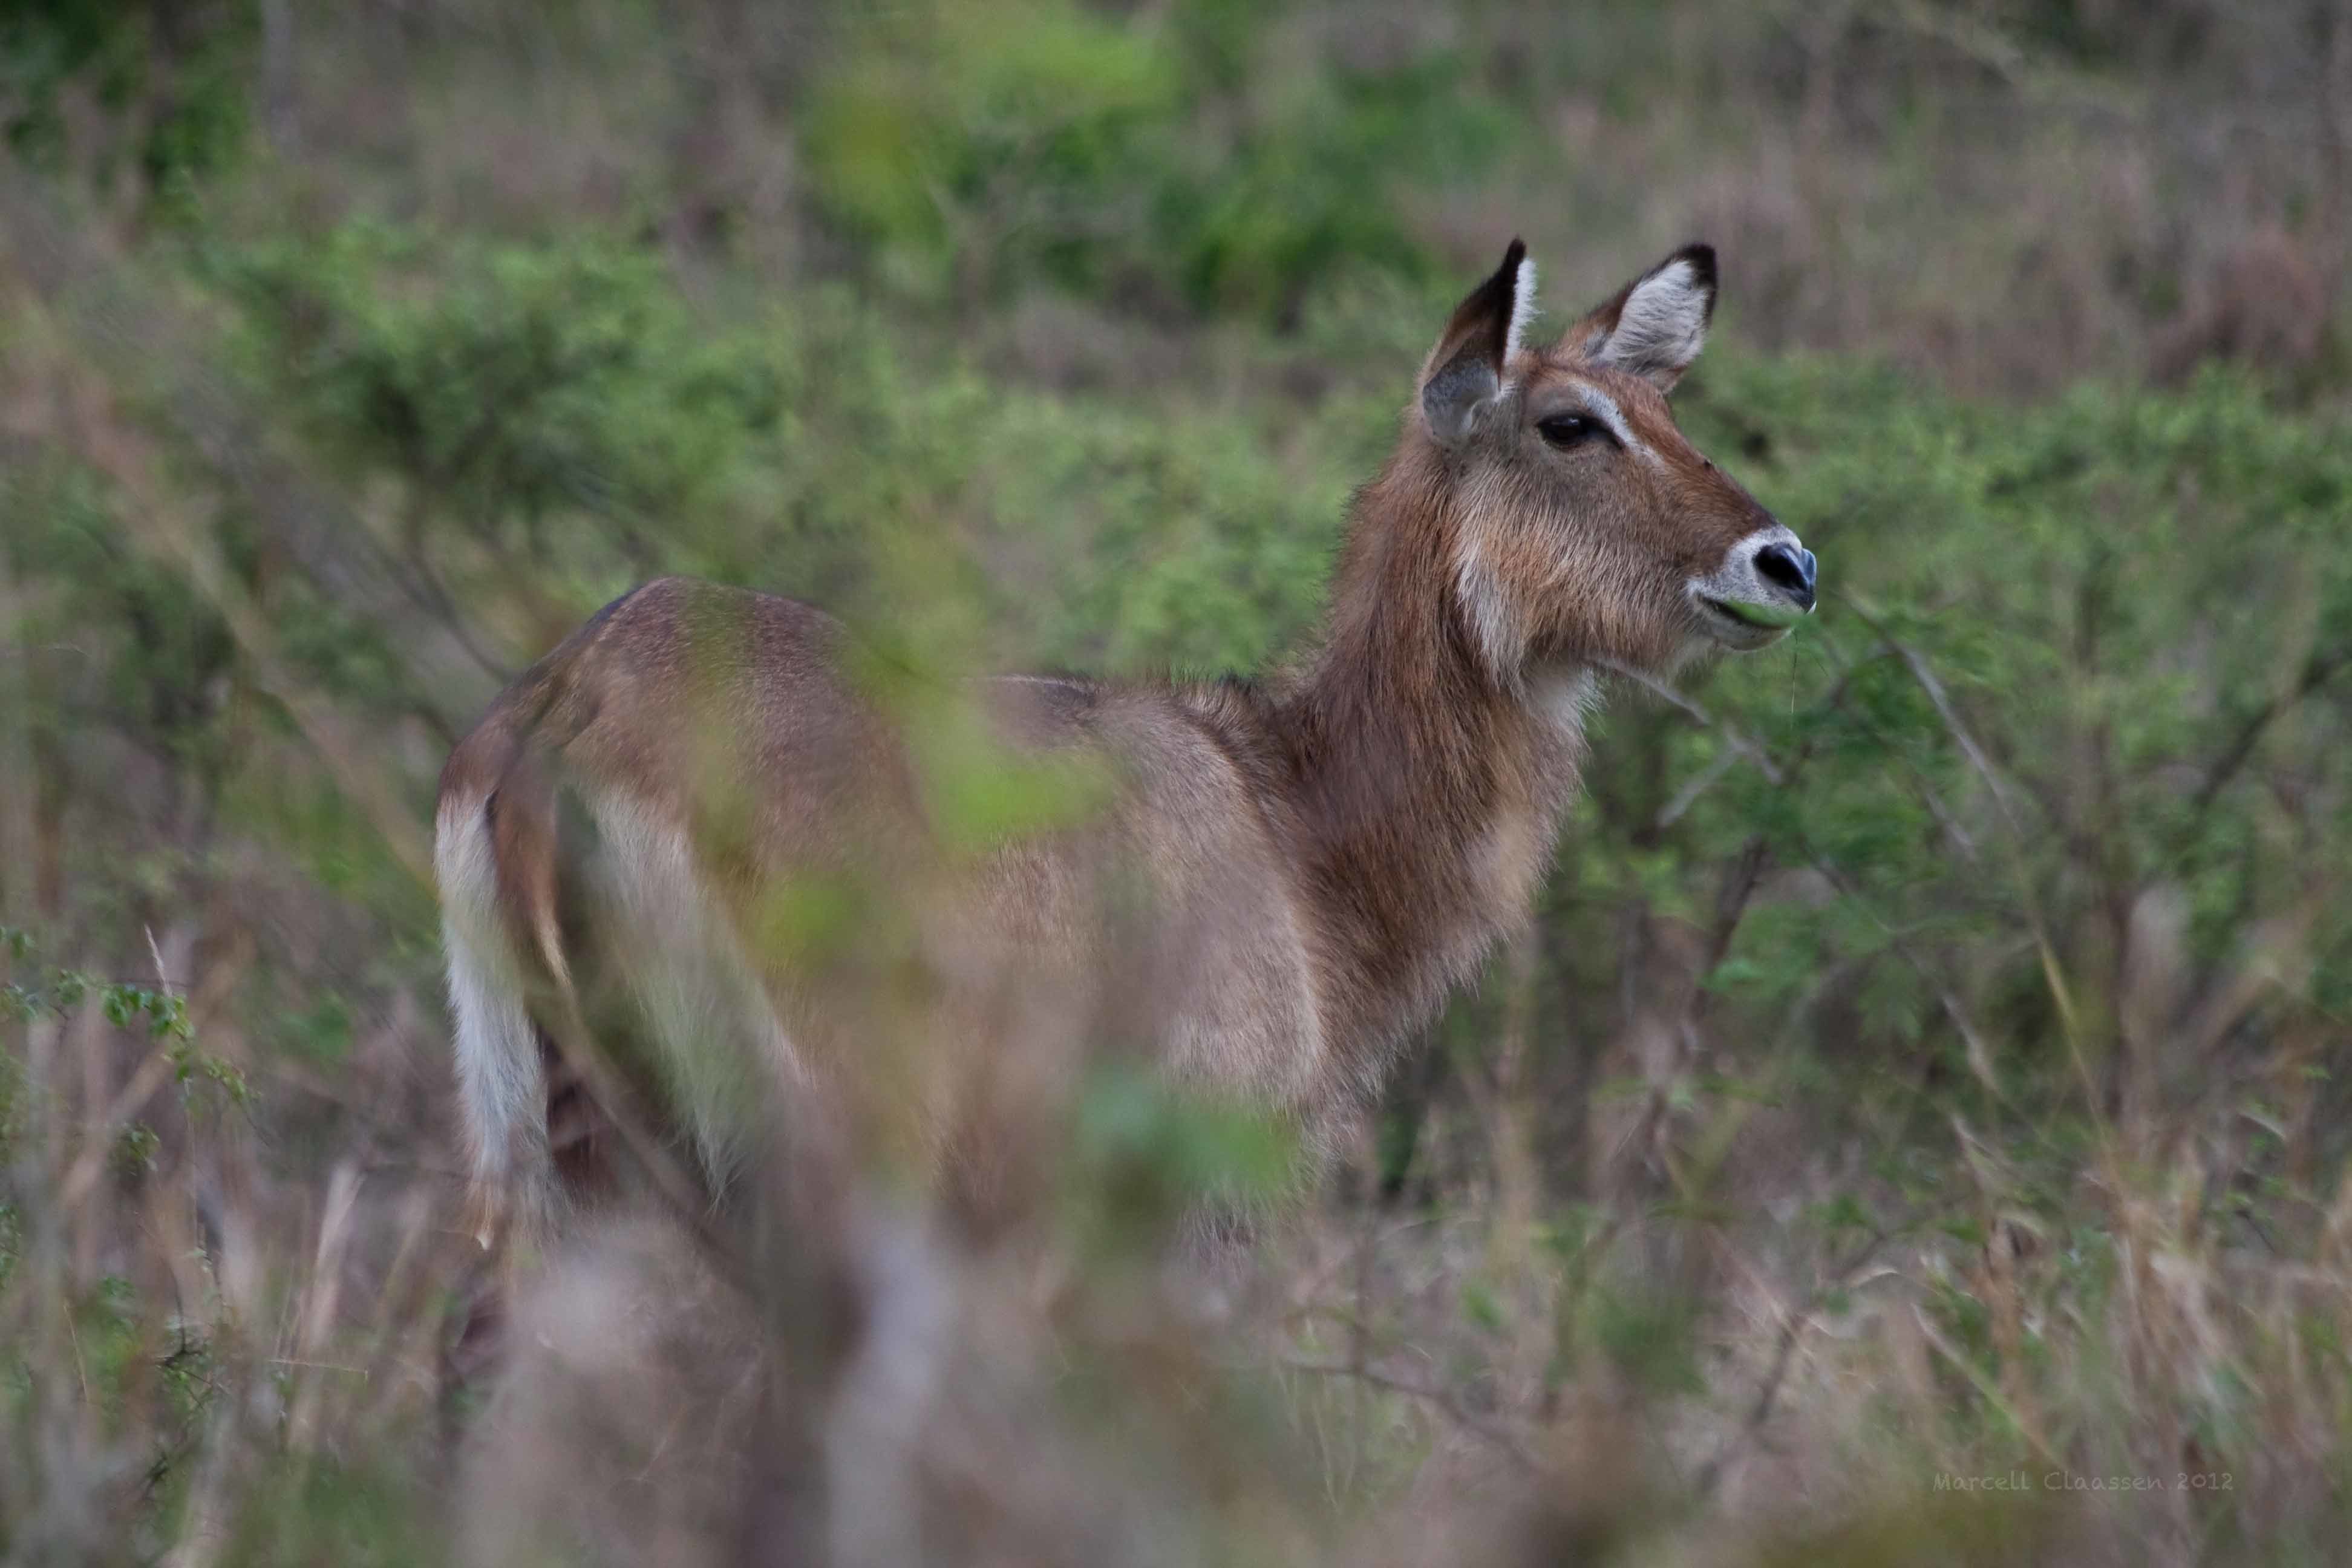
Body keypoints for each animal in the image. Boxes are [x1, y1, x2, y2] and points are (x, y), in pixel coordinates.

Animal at [437, 242, 1815, 1250]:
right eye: (1571, 424)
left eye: (1664, 405)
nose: (1786, 564)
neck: (1290, 819)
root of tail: (568, 703)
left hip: (542, 1159)